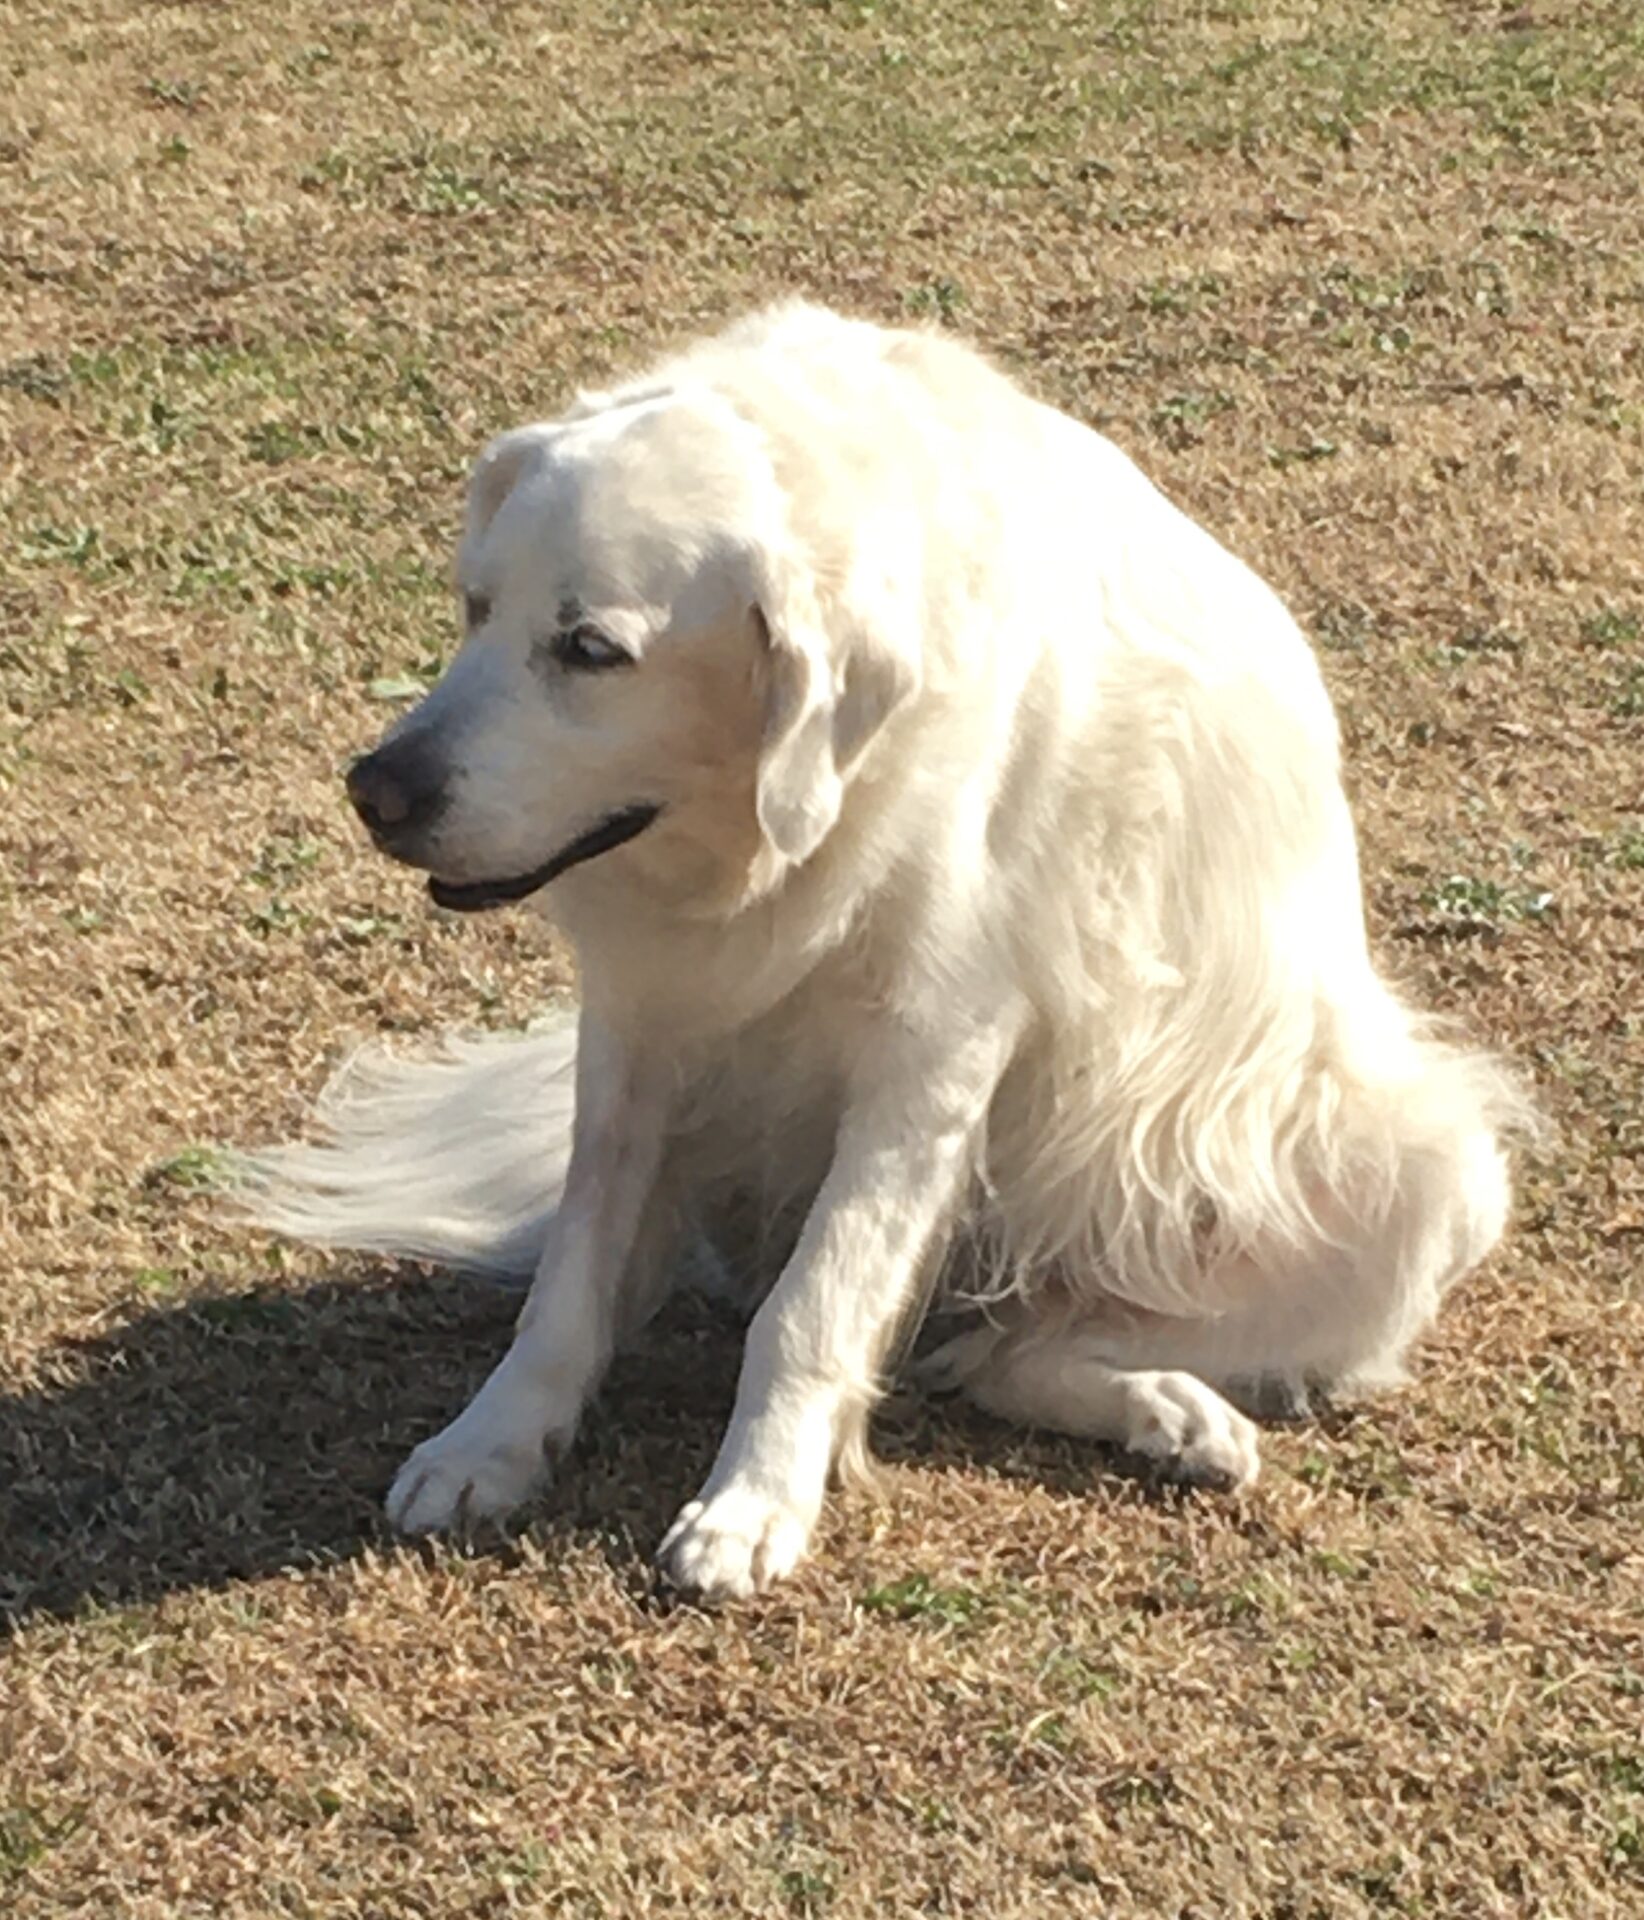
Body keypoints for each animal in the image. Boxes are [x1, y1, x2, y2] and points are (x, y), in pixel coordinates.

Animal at [236, 302, 1527, 1599]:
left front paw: (752, 1500)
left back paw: (1175, 1407)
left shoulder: (935, 1051)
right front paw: (493, 1444)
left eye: (592, 649)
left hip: (1423, 1176)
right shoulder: (639, 1026)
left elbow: (815, 1299)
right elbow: (574, 1278)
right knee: (981, 1354)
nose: (376, 790)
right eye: (474, 608)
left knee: (1002, 1349)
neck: (768, 840)